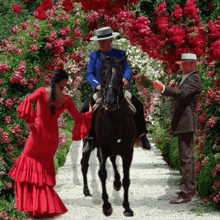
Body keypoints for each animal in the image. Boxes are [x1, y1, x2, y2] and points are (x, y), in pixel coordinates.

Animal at [81, 52, 136, 217]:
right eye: (102, 75)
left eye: (120, 76)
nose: (110, 102)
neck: (114, 118)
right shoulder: (102, 148)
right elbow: (102, 173)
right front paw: (106, 207)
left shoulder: (127, 151)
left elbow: (126, 179)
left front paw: (127, 207)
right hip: (89, 145)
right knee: (84, 164)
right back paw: (86, 190)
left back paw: (116, 183)